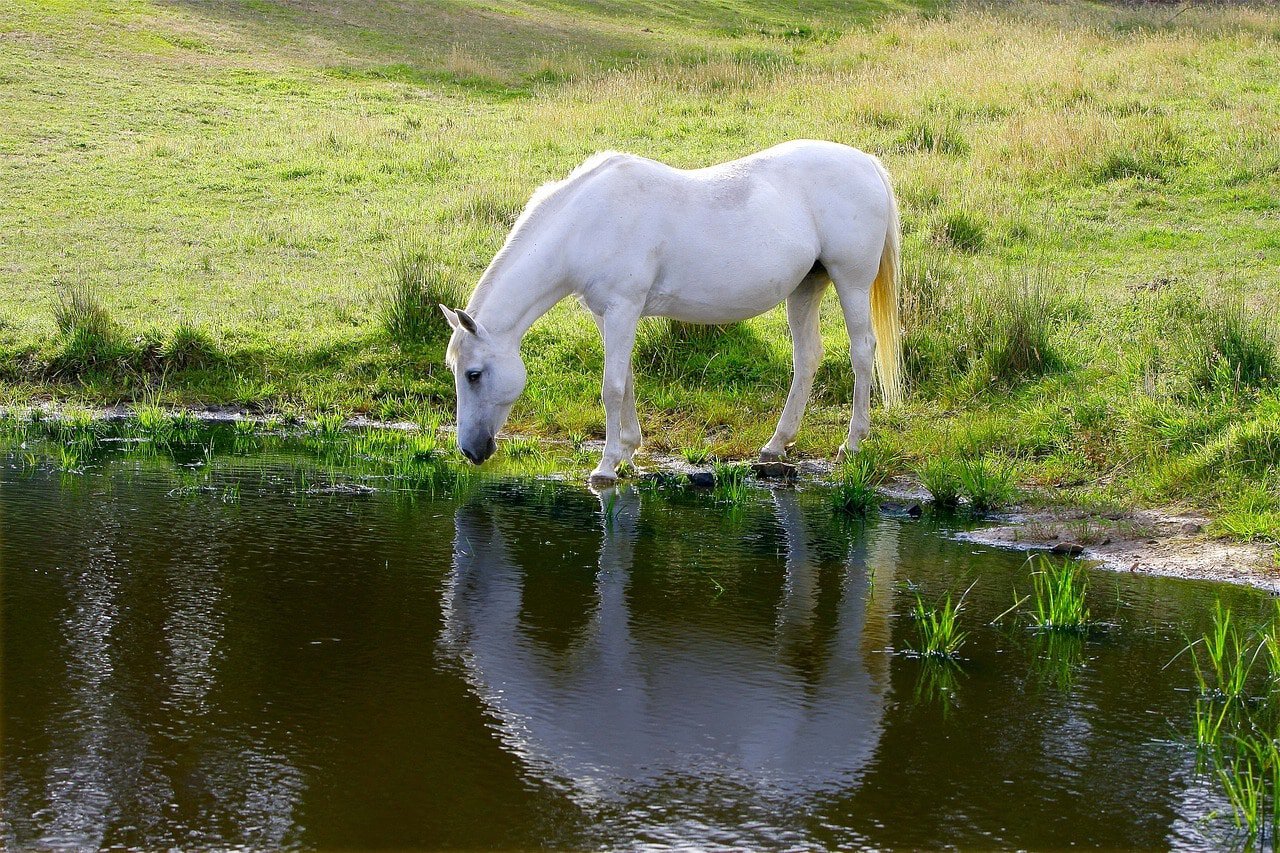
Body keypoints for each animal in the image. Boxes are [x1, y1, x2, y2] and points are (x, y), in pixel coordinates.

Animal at [441, 139, 903, 482]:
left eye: (473, 374)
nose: (471, 450)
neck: (587, 221)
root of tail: (867, 163)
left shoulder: (623, 308)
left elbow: (611, 387)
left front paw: (606, 466)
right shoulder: (607, 314)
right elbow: (625, 380)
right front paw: (628, 451)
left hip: (851, 283)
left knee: (862, 352)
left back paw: (853, 442)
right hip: (806, 287)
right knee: (807, 358)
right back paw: (775, 446)